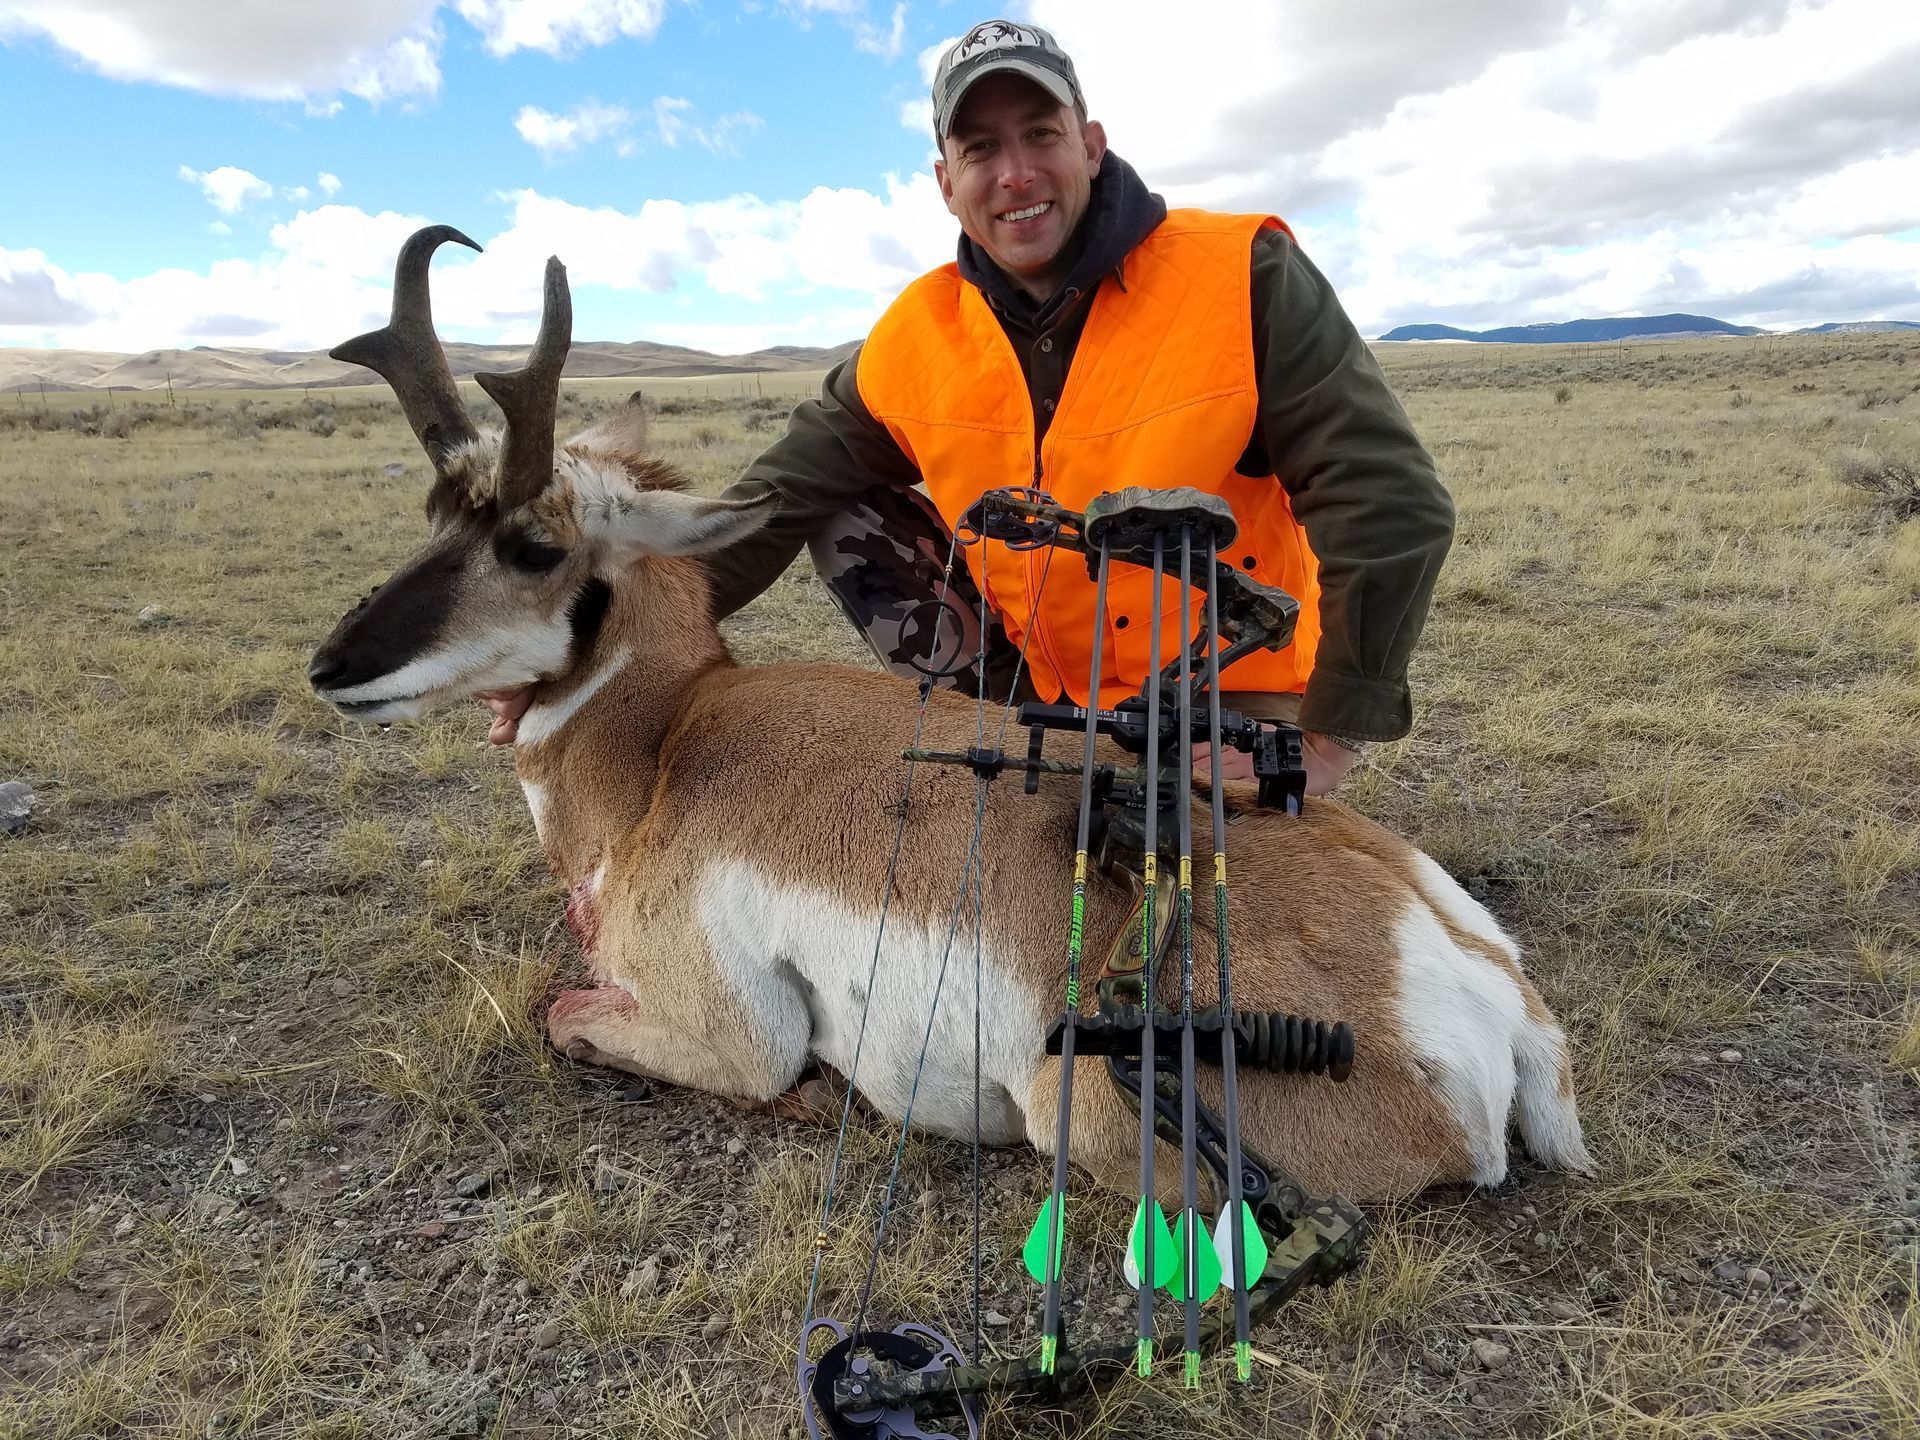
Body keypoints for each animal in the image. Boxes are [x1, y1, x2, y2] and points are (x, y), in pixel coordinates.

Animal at [309, 227, 1595, 1203]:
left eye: (533, 544)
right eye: (434, 512)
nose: (331, 666)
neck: (666, 749)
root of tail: (1486, 1001)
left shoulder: (730, 1036)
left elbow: (561, 1013)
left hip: (1080, 1106)